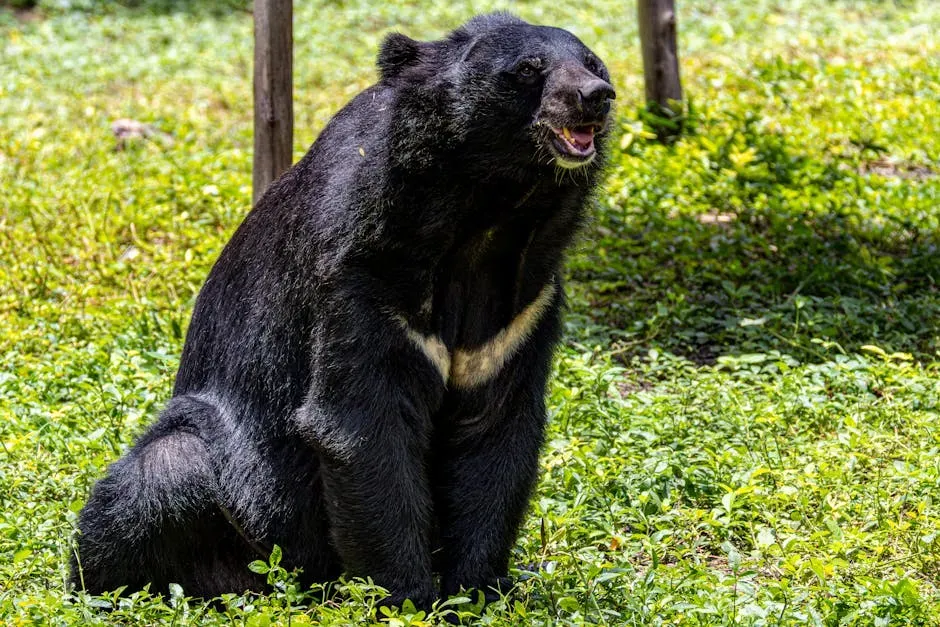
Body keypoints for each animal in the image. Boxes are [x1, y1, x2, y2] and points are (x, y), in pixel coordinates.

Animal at [71, 12, 615, 609]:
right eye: (527, 70)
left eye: (593, 63)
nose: (596, 97)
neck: (487, 217)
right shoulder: (362, 273)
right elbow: (362, 423)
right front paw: (408, 598)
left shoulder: (520, 309)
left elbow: (495, 429)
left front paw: (477, 591)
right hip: (235, 488)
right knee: (156, 480)